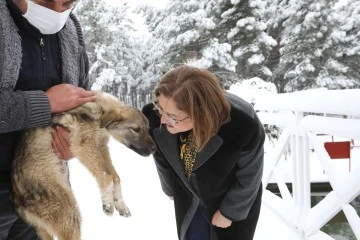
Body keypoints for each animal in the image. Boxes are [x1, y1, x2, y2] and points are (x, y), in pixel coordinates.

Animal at [10, 92, 155, 240]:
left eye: (148, 129)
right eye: (136, 129)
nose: (154, 148)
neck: (100, 110)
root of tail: (19, 206)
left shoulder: (101, 147)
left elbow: (116, 177)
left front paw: (120, 203)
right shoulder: (85, 146)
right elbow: (106, 174)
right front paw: (108, 203)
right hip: (68, 210)